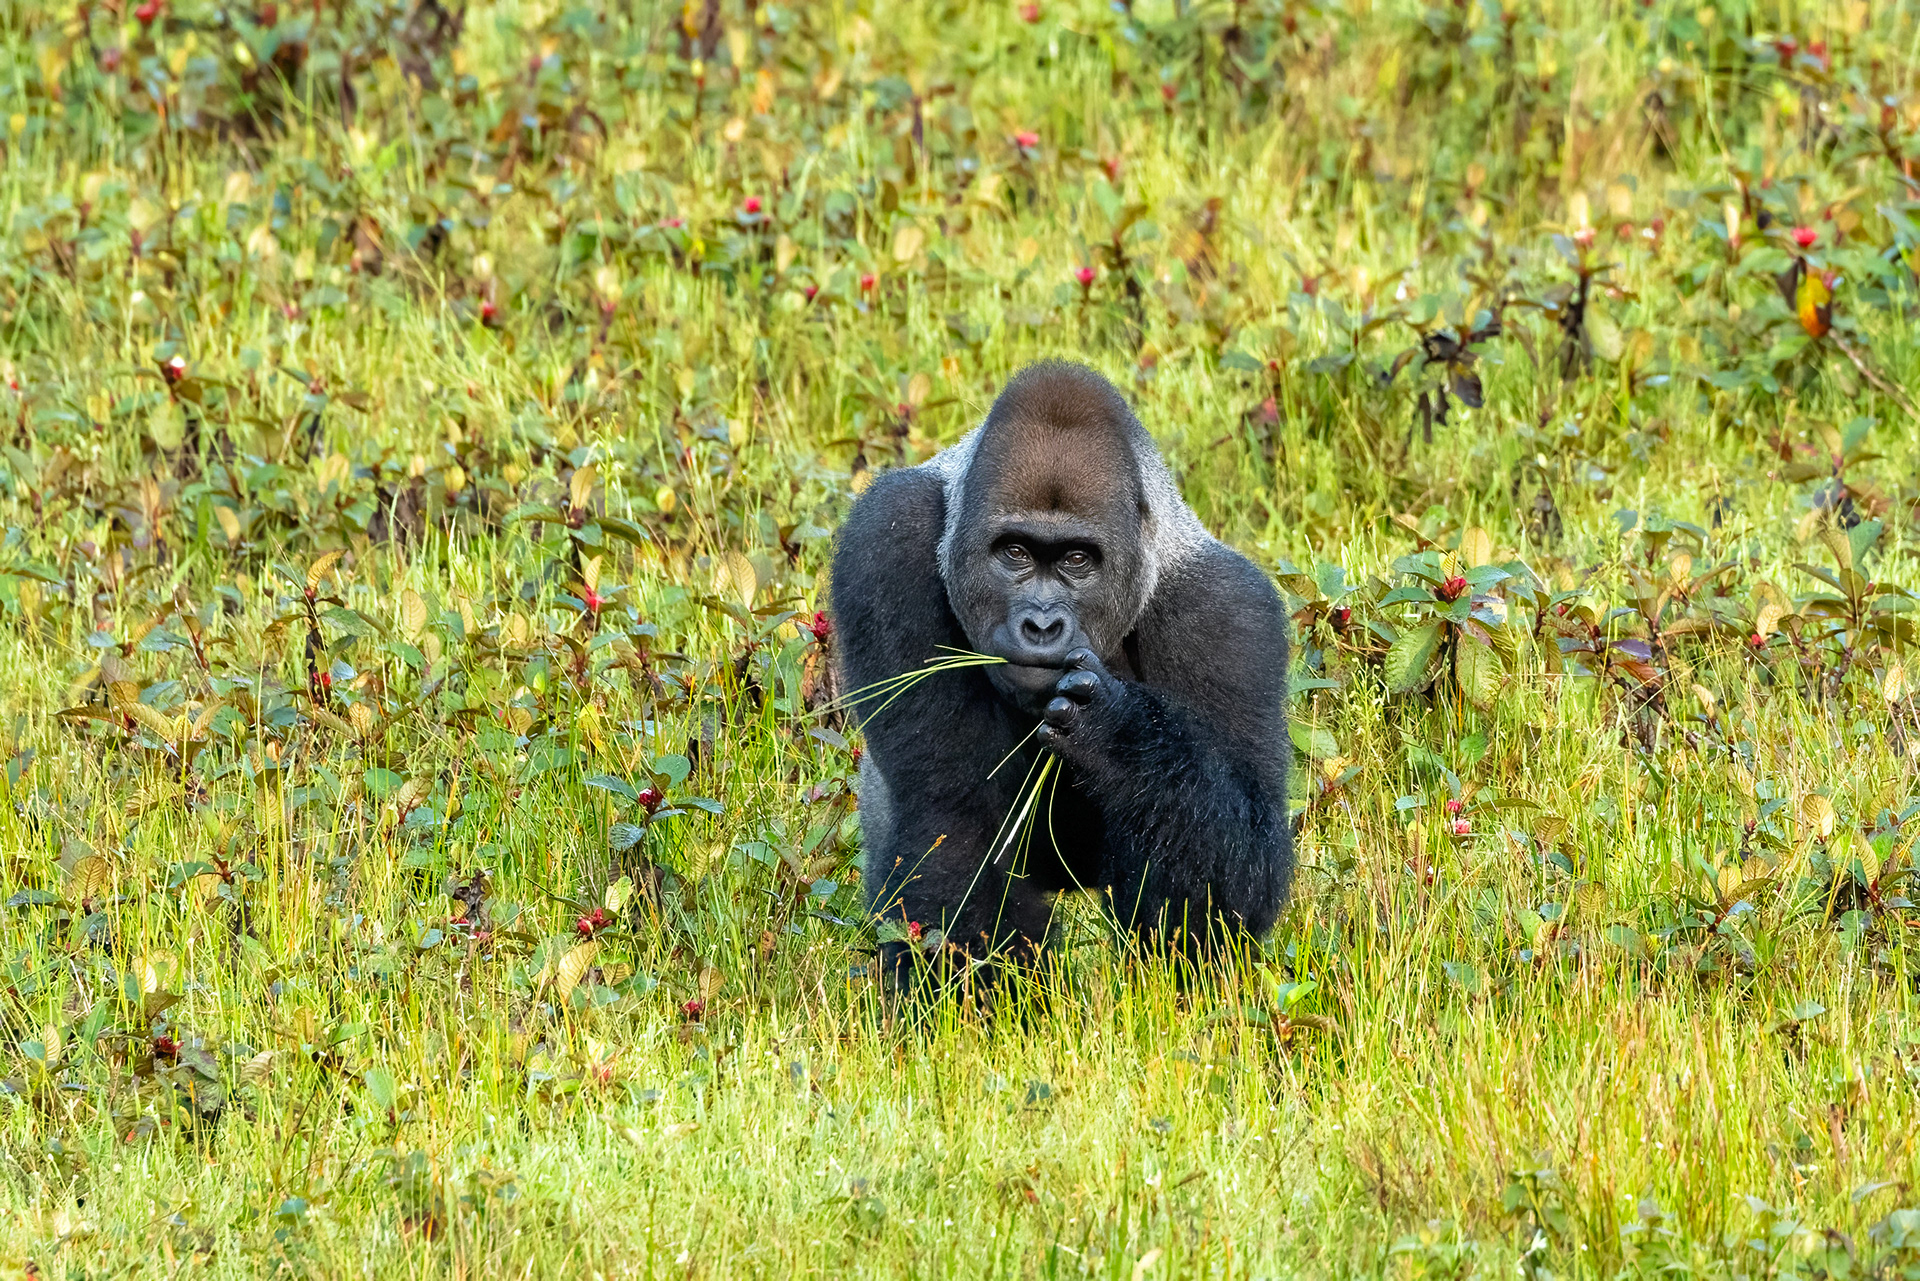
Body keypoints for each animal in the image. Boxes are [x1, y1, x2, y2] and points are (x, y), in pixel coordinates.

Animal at [829, 360, 1293, 982]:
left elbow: (1244, 873)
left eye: (1077, 560)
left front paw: (1119, 736)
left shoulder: (1229, 613)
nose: (1043, 625)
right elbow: (954, 820)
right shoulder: (886, 540)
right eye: (1015, 553)